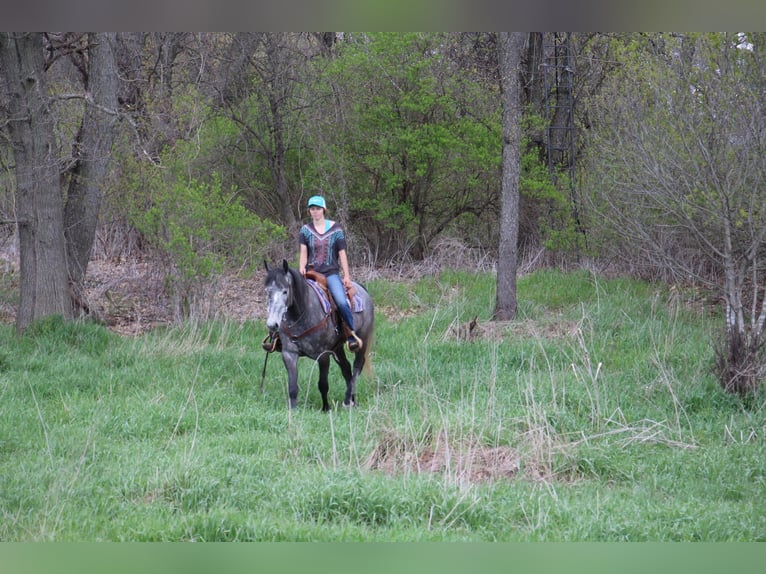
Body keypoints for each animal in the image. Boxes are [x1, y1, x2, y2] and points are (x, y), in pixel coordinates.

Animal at [262, 258, 376, 412]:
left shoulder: (323, 355)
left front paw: (326, 408)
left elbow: (323, 384)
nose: (272, 324)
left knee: (357, 366)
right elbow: (292, 387)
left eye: (285, 291)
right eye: (267, 291)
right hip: (337, 347)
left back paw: (347, 400)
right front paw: (293, 410)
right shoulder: (289, 354)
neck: (302, 313)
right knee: (346, 368)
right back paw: (352, 400)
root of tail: (363, 290)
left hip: (362, 340)